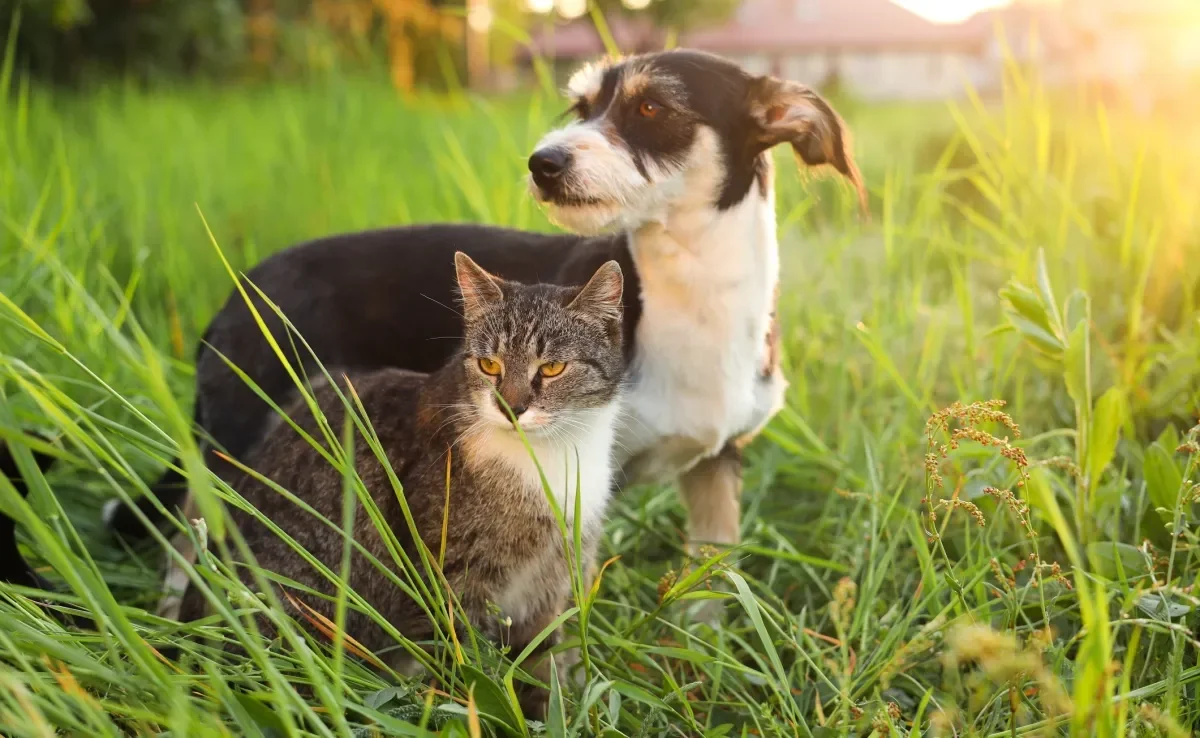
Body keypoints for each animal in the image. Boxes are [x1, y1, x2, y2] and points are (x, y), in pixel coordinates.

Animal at [7, 49, 864, 609]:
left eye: (653, 108)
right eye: (581, 107)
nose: (543, 162)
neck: (690, 295)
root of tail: (238, 291)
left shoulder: (718, 469)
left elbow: (710, 590)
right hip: (238, 447)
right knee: (191, 547)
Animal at [180, 253, 628, 715]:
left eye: (552, 368)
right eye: (490, 365)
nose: (511, 407)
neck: (548, 459)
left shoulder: (553, 583)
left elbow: (541, 666)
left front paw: (550, 712)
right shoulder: (449, 582)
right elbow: (460, 669)